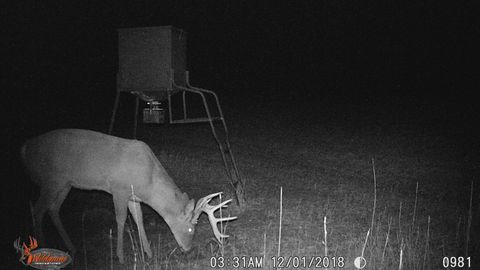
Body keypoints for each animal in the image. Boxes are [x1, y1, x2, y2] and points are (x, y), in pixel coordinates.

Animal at [21, 129, 237, 264]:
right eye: (192, 228)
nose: (188, 249)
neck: (147, 183)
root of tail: (25, 149)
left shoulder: (133, 196)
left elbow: (139, 219)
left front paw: (148, 253)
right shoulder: (119, 189)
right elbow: (121, 219)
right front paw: (121, 256)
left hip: (65, 184)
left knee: (52, 209)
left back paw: (71, 248)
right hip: (52, 179)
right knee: (37, 209)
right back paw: (42, 248)